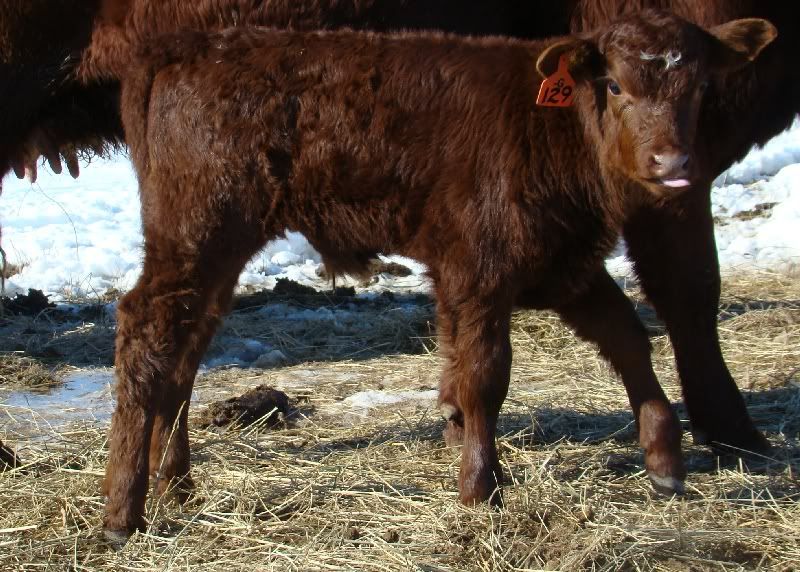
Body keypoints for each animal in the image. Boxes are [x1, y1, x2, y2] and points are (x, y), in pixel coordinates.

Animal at [97, 5, 775, 539]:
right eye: (612, 85)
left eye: (699, 87)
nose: (673, 163)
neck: (546, 125)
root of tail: (183, 46)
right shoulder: (478, 271)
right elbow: (484, 376)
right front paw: (481, 488)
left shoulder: (564, 267)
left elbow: (629, 339)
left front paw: (665, 462)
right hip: (198, 233)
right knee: (146, 332)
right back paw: (122, 514)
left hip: (210, 253)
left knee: (185, 350)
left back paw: (176, 485)